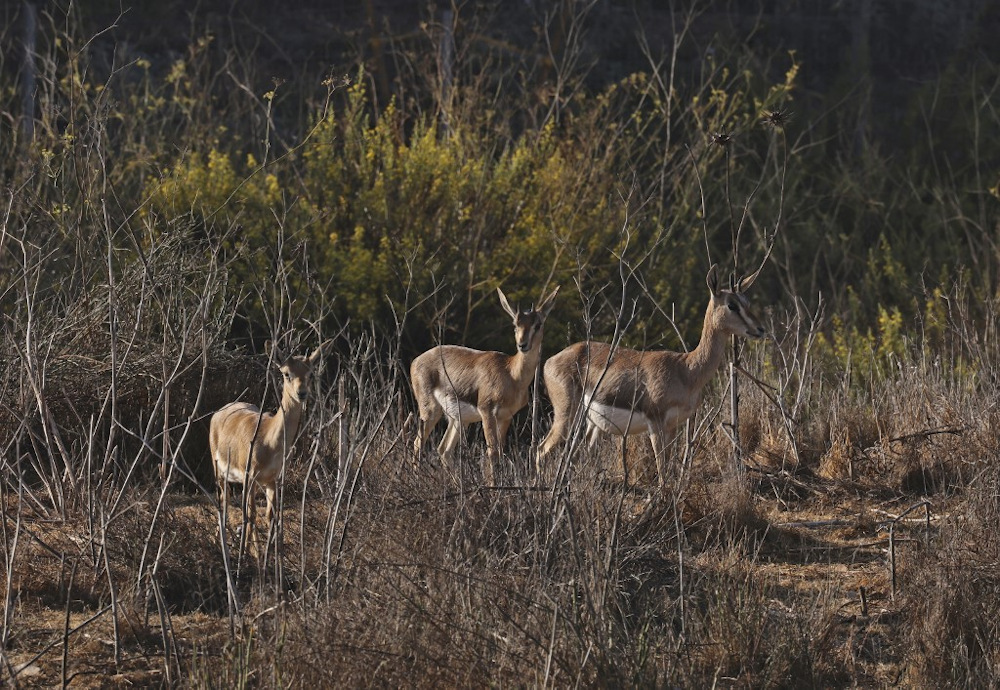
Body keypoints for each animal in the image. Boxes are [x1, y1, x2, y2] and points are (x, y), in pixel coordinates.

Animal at [211, 341, 328, 550]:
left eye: (310, 373)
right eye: (286, 373)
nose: (302, 393)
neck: (268, 440)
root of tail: (218, 413)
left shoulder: (272, 479)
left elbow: (270, 516)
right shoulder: (249, 477)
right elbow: (250, 514)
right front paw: (251, 554)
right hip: (219, 471)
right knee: (223, 501)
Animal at [410, 286, 560, 483]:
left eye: (538, 324)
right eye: (515, 324)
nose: (523, 345)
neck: (511, 374)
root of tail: (416, 361)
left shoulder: (505, 417)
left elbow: (499, 453)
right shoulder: (487, 412)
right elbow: (492, 454)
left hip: (459, 419)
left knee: (444, 450)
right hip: (431, 411)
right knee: (418, 443)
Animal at [538, 265, 765, 488]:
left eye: (747, 302)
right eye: (732, 305)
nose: (760, 329)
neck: (686, 370)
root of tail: (550, 361)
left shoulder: (673, 426)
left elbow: (669, 468)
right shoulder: (655, 422)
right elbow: (662, 470)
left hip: (592, 424)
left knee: (579, 453)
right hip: (566, 417)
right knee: (542, 450)